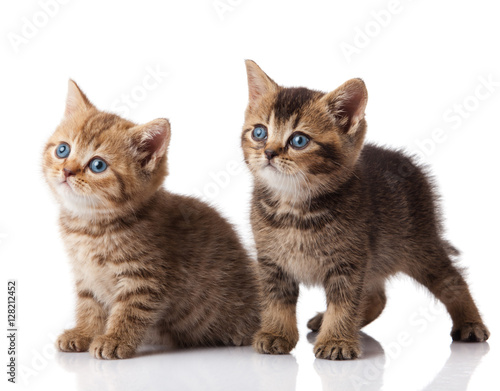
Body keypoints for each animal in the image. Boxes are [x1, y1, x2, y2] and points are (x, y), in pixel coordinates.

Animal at [42, 81, 260, 360]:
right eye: (63, 149)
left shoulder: (146, 277)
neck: (90, 227)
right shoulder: (85, 275)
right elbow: (89, 304)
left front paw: (114, 339)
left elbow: (130, 310)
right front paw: (83, 332)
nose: (67, 170)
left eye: (98, 165)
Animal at [241, 60, 488, 362]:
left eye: (299, 140)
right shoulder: (271, 262)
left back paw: (470, 323)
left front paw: (337, 340)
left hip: (420, 245)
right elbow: (277, 300)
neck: (294, 210)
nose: (268, 152)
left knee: (452, 280)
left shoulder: (349, 260)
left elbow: (344, 302)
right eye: (259, 132)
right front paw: (276, 334)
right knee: (377, 297)